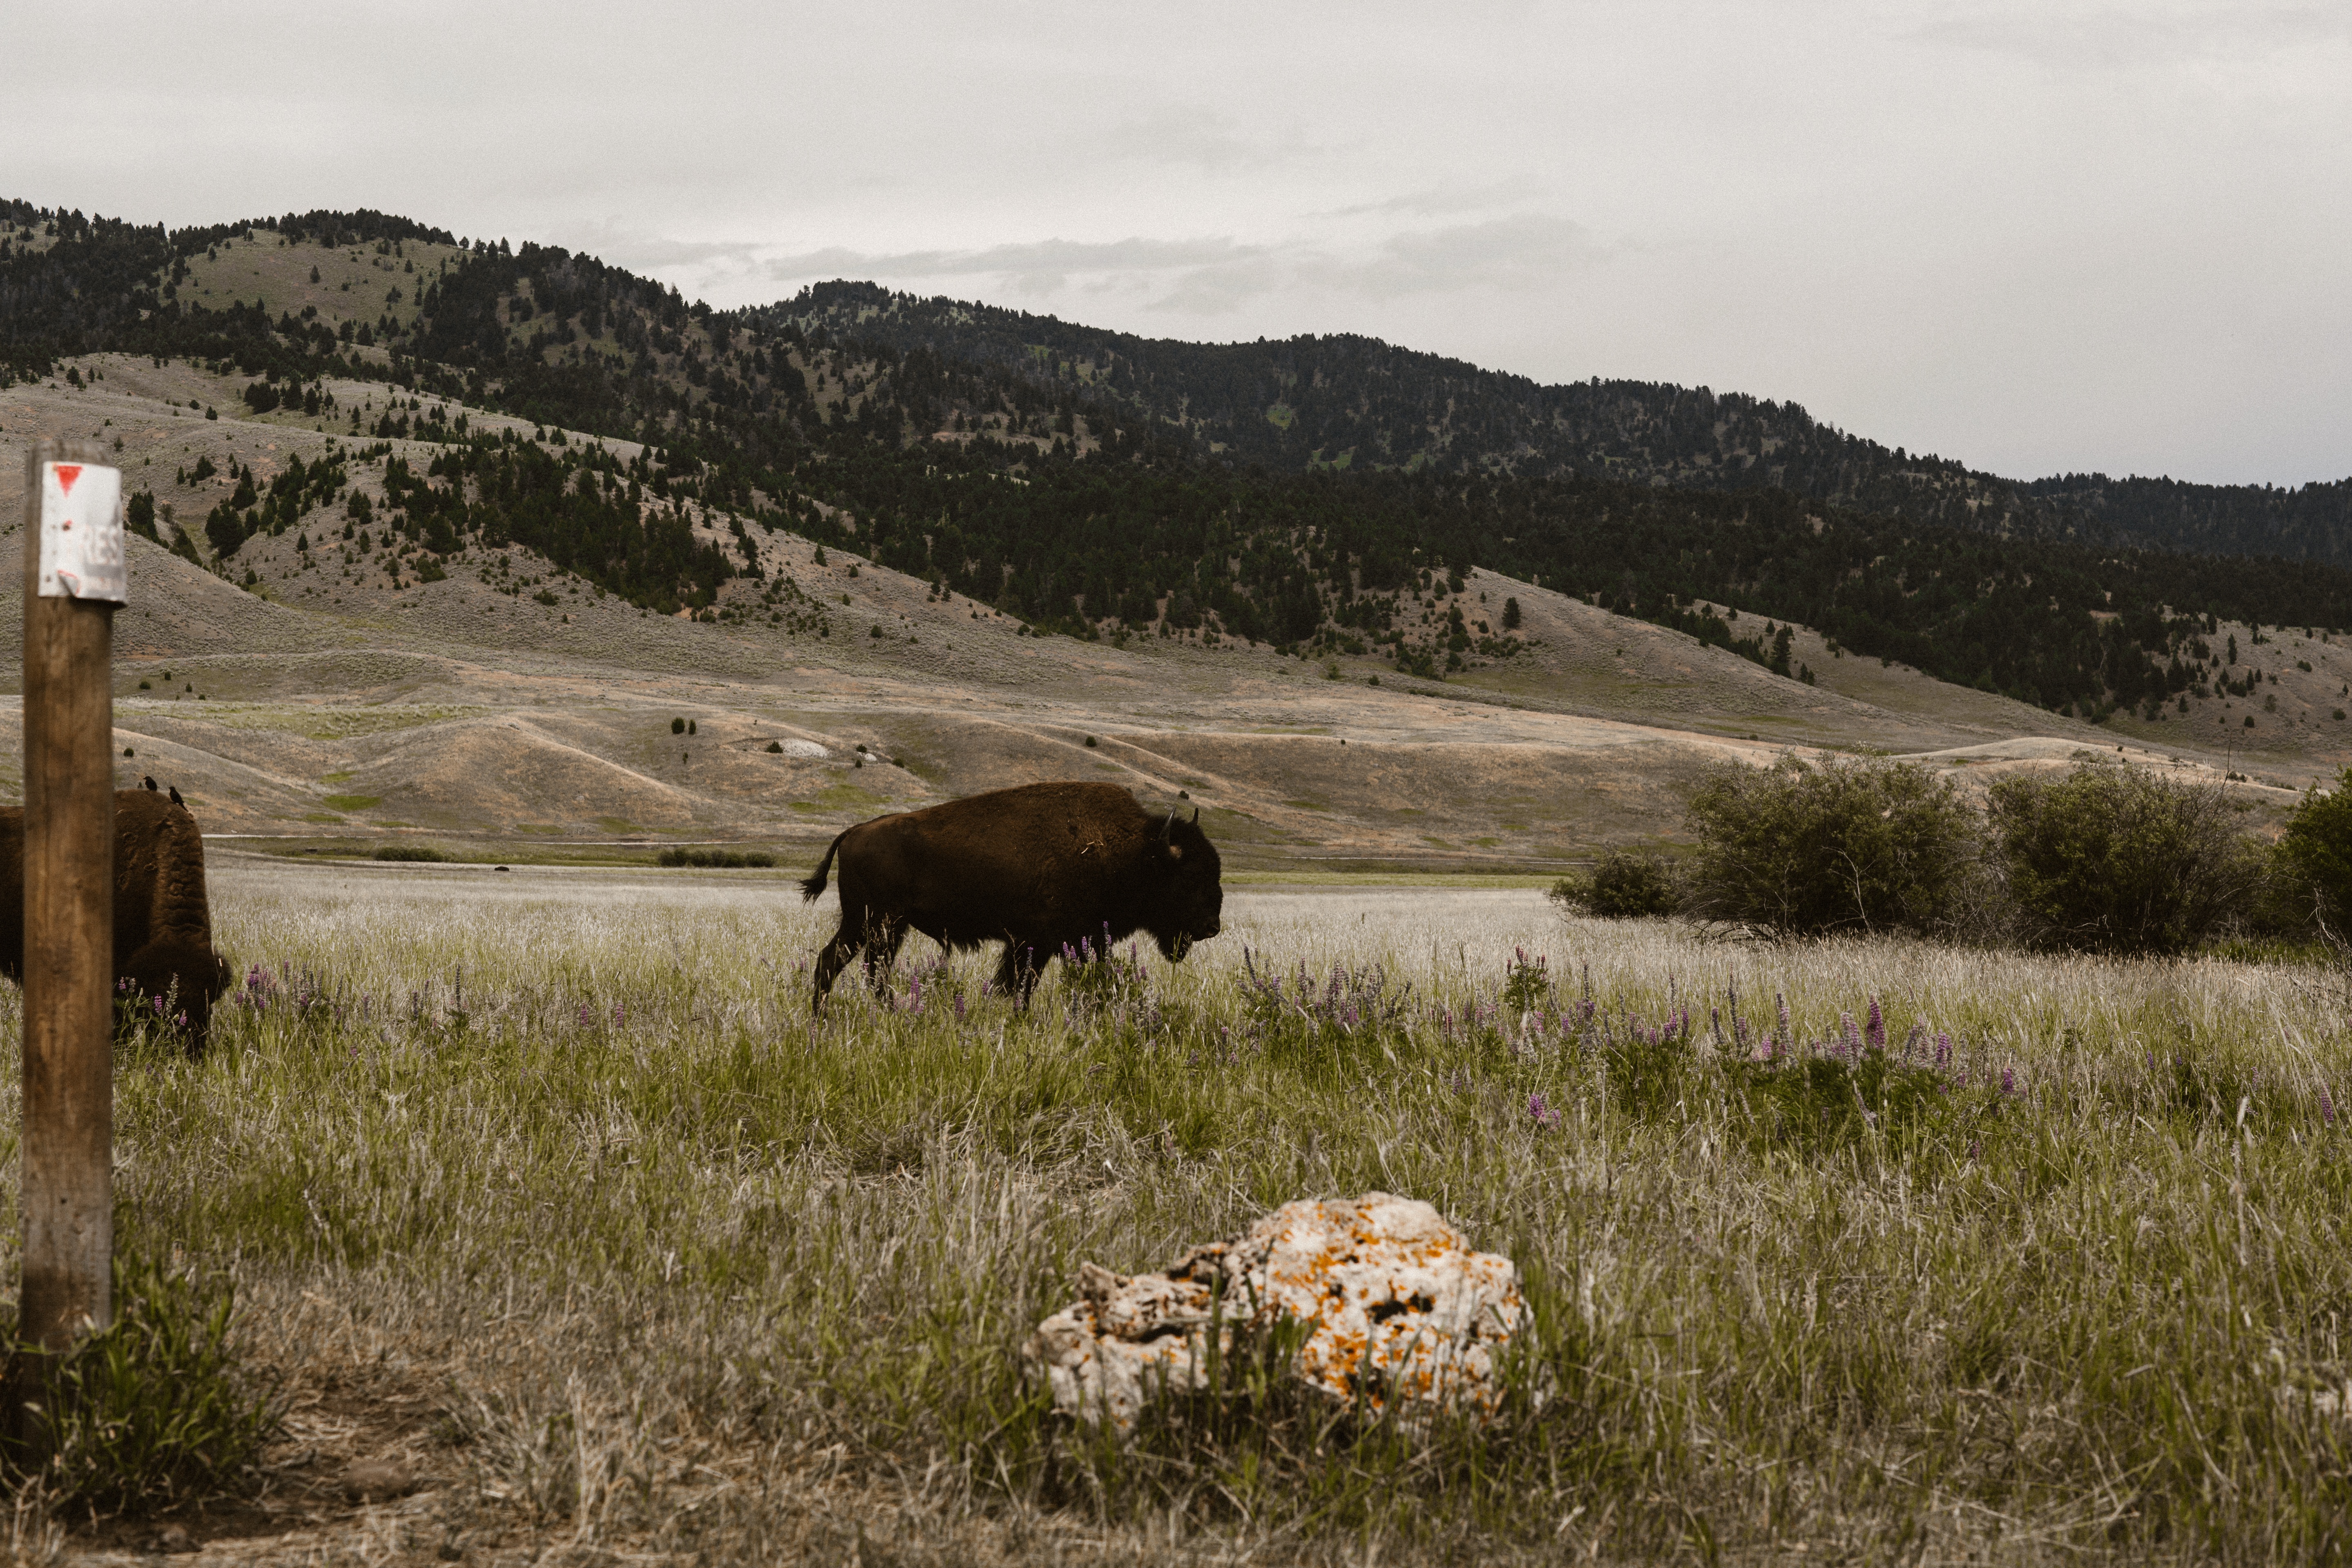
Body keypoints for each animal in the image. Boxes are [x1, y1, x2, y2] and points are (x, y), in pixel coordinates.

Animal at [800, 780, 1223, 1011]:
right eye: (1188, 876)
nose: (1212, 927)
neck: (1134, 852)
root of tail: (854, 832)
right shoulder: (1038, 943)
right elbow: (1023, 988)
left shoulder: (1074, 942)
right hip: (873, 923)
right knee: (847, 966)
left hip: (881, 927)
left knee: (856, 968)